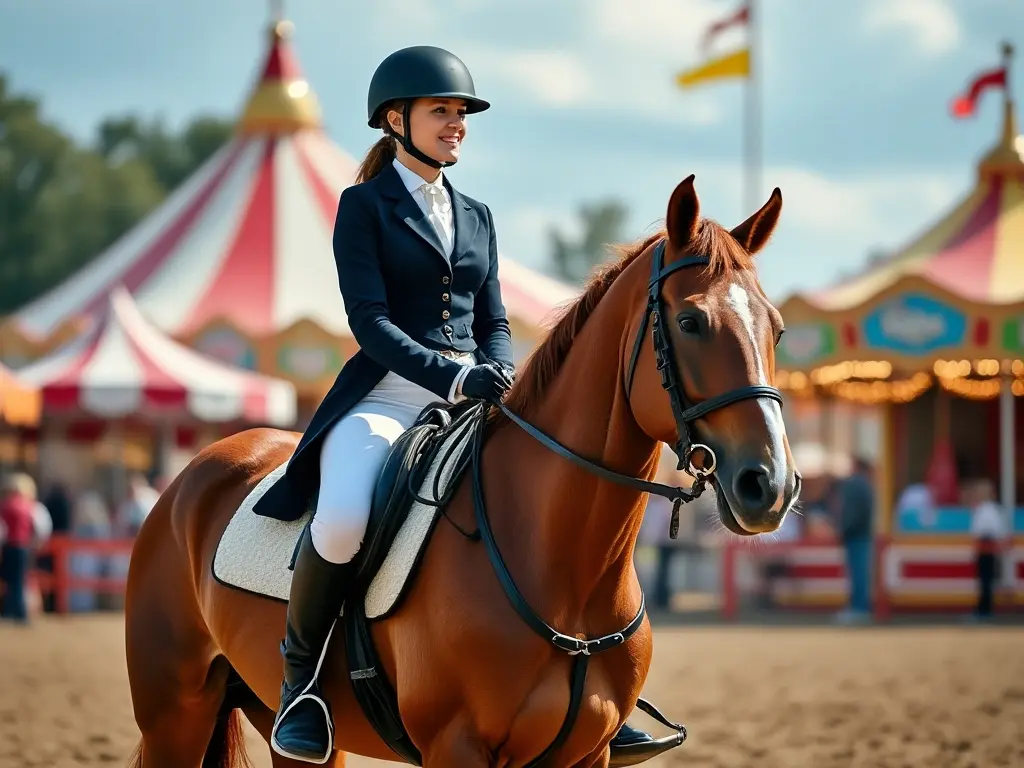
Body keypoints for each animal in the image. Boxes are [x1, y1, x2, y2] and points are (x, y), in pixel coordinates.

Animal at [124, 174, 800, 768]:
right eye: (690, 322)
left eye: (777, 328)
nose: (769, 486)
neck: (566, 572)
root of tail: (197, 470)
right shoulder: (457, 746)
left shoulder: (587, 754)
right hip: (173, 716)